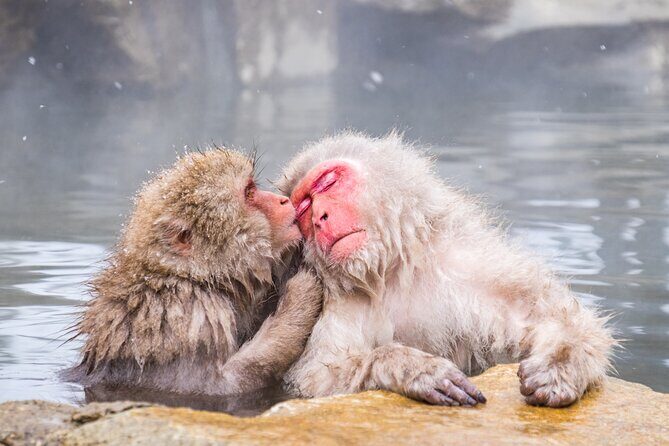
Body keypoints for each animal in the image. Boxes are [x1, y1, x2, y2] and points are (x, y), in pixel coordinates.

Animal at [64, 147, 323, 396]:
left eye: (252, 187)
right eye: (249, 193)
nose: (283, 201)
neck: (192, 278)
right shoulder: (187, 320)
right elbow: (217, 385)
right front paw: (300, 296)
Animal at [276, 131, 614, 408]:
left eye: (328, 182)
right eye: (304, 207)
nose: (320, 218)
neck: (390, 272)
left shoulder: (475, 264)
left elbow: (557, 318)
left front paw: (558, 367)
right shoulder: (331, 301)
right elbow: (316, 380)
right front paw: (412, 367)